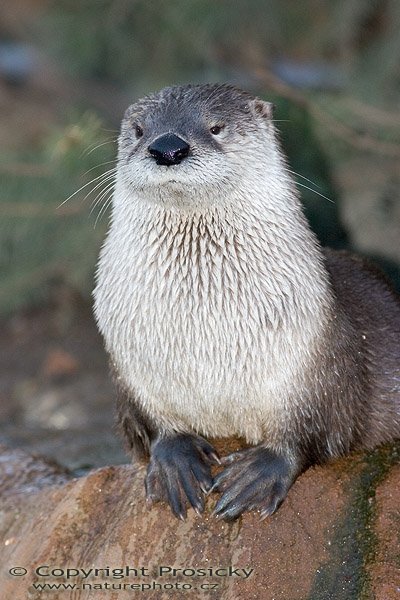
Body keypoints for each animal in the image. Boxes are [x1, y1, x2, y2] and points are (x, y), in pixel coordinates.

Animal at [94, 83, 400, 520]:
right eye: (139, 130)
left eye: (216, 127)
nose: (167, 148)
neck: (206, 338)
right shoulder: (129, 366)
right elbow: (150, 426)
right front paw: (175, 461)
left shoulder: (318, 361)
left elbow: (312, 428)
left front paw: (258, 473)